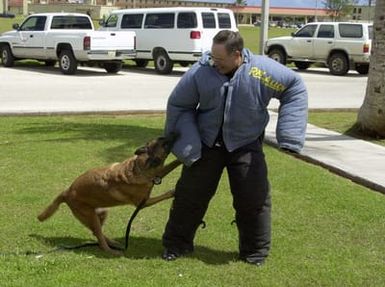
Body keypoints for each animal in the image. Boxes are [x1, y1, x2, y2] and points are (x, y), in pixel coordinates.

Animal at [36, 134, 181, 255]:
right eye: (162, 140)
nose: (174, 133)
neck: (140, 167)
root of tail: (66, 191)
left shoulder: (159, 174)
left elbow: (172, 165)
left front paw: (180, 160)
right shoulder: (143, 203)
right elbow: (163, 195)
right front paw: (173, 191)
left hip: (100, 213)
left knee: (96, 232)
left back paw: (112, 243)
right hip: (90, 216)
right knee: (99, 237)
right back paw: (111, 250)